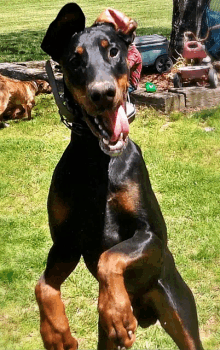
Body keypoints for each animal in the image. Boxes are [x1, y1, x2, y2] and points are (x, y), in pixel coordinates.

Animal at [35, 3, 204, 350]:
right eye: (75, 60)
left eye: (113, 51)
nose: (103, 93)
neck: (97, 161)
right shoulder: (66, 243)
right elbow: (42, 284)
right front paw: (56, 333)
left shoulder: (152, 234)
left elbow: (110, 257)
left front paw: (115, 310)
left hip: (179, 310)